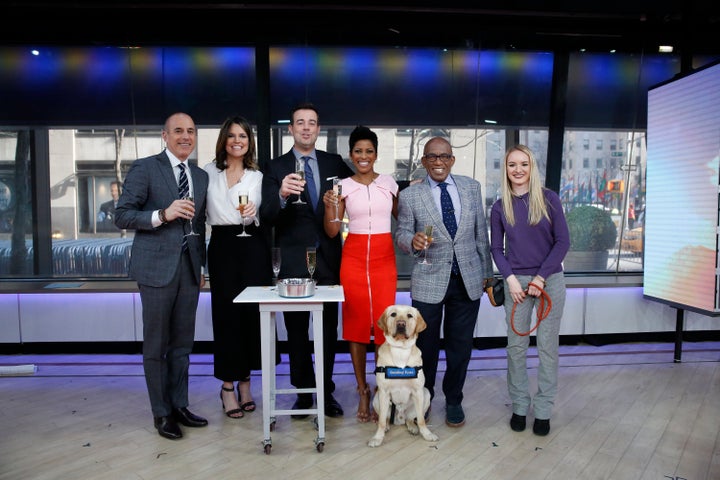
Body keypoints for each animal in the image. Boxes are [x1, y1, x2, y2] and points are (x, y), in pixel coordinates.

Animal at [368, 306, 436, 448]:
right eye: (393, 314)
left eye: (410, 315)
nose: (400, 324)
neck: (400, 351)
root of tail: (399, 418)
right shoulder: (384, 392)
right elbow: (381, 421)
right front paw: (377, 438)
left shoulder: (418, 391)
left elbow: (421, 420)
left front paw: (427, 434)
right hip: (377, 398)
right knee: (386, 418)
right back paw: (387, 426)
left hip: (426, 394)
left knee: (411, 419)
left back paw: (412, 427)